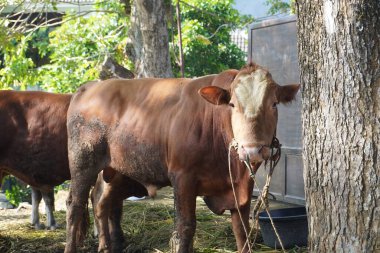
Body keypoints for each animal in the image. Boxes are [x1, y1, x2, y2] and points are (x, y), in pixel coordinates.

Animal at [65, 62, 300, 253]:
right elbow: (185, 228)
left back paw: (106, 246)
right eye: (232, 104)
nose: (252, 150)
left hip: (115, 170)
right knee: (75, 205)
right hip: (82, 162)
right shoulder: (182, 178)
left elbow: (242, 230)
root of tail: (89, 87)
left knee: (100, 201)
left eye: (274, 104)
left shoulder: (242, 186)